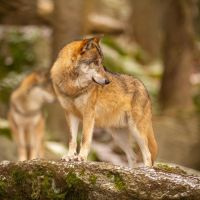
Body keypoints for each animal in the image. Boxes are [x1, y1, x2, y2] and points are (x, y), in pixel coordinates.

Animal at [50, 36, 157, 166]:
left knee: (148, 155)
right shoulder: (70, 114)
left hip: (136, 130)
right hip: (118, 136)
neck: (72, 87)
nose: (107, 81)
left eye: (102, 63)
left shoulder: (89, 115)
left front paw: (81, 157)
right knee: (133, 156)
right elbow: (72, 139)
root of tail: (144, 87)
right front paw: (69, 157)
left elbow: (85, 139)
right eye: (96, 62)